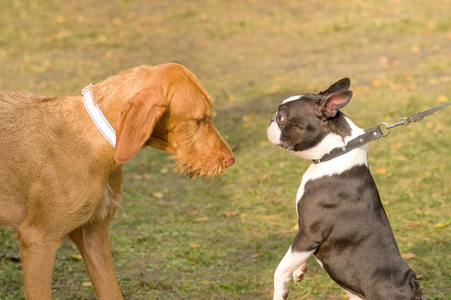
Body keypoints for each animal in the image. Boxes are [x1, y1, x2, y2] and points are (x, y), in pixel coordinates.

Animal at [0, 62, 235, 298]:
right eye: (199, 120)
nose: (230, 160)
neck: (96, 140)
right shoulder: (38, 238)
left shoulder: (93, 235)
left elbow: (112, 290)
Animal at [266, 79, 426, 300]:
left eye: (281, 117)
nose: (270, 119)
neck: (335, 152)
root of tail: (412, 286)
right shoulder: (303, 238)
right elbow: (293, 257)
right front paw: (299, 270)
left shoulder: (309, 233)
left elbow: (280, 268)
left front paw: (281, 290)